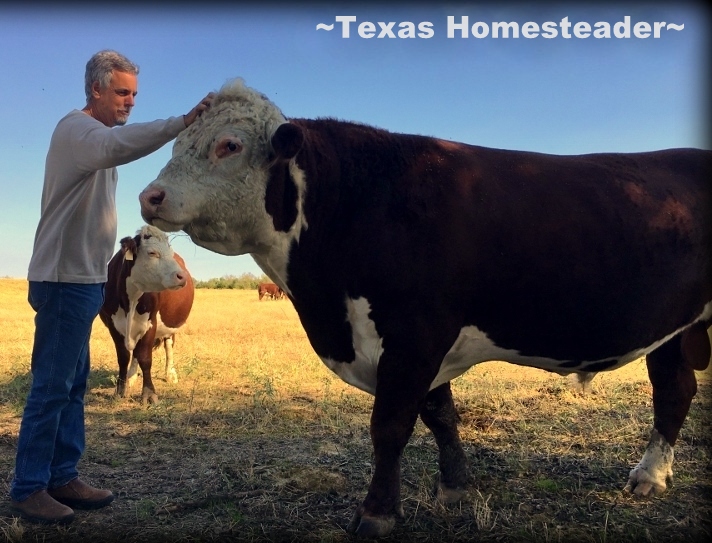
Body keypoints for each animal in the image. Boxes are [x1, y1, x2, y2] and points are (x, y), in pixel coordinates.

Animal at [99, 224, 195, 404]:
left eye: (170, 252)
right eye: (152, 253)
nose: (182, 276)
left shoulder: (151, 323)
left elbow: (145, 358)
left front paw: (149, 394)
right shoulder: (113, 324)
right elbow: (123, 357)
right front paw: (120, 390)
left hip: (169, 326)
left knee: (168, 345)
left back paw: (170, 374)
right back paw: (131, 377)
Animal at [136, 79, 708, 540]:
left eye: (228, 145)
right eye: (178, 141)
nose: (150, 196)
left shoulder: (414, 335)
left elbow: (390, 425)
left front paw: (376, 514)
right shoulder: (419, 344)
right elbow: (440, 414)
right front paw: (456, 487)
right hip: (673, 328)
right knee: (675, 389)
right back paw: (651, 475)